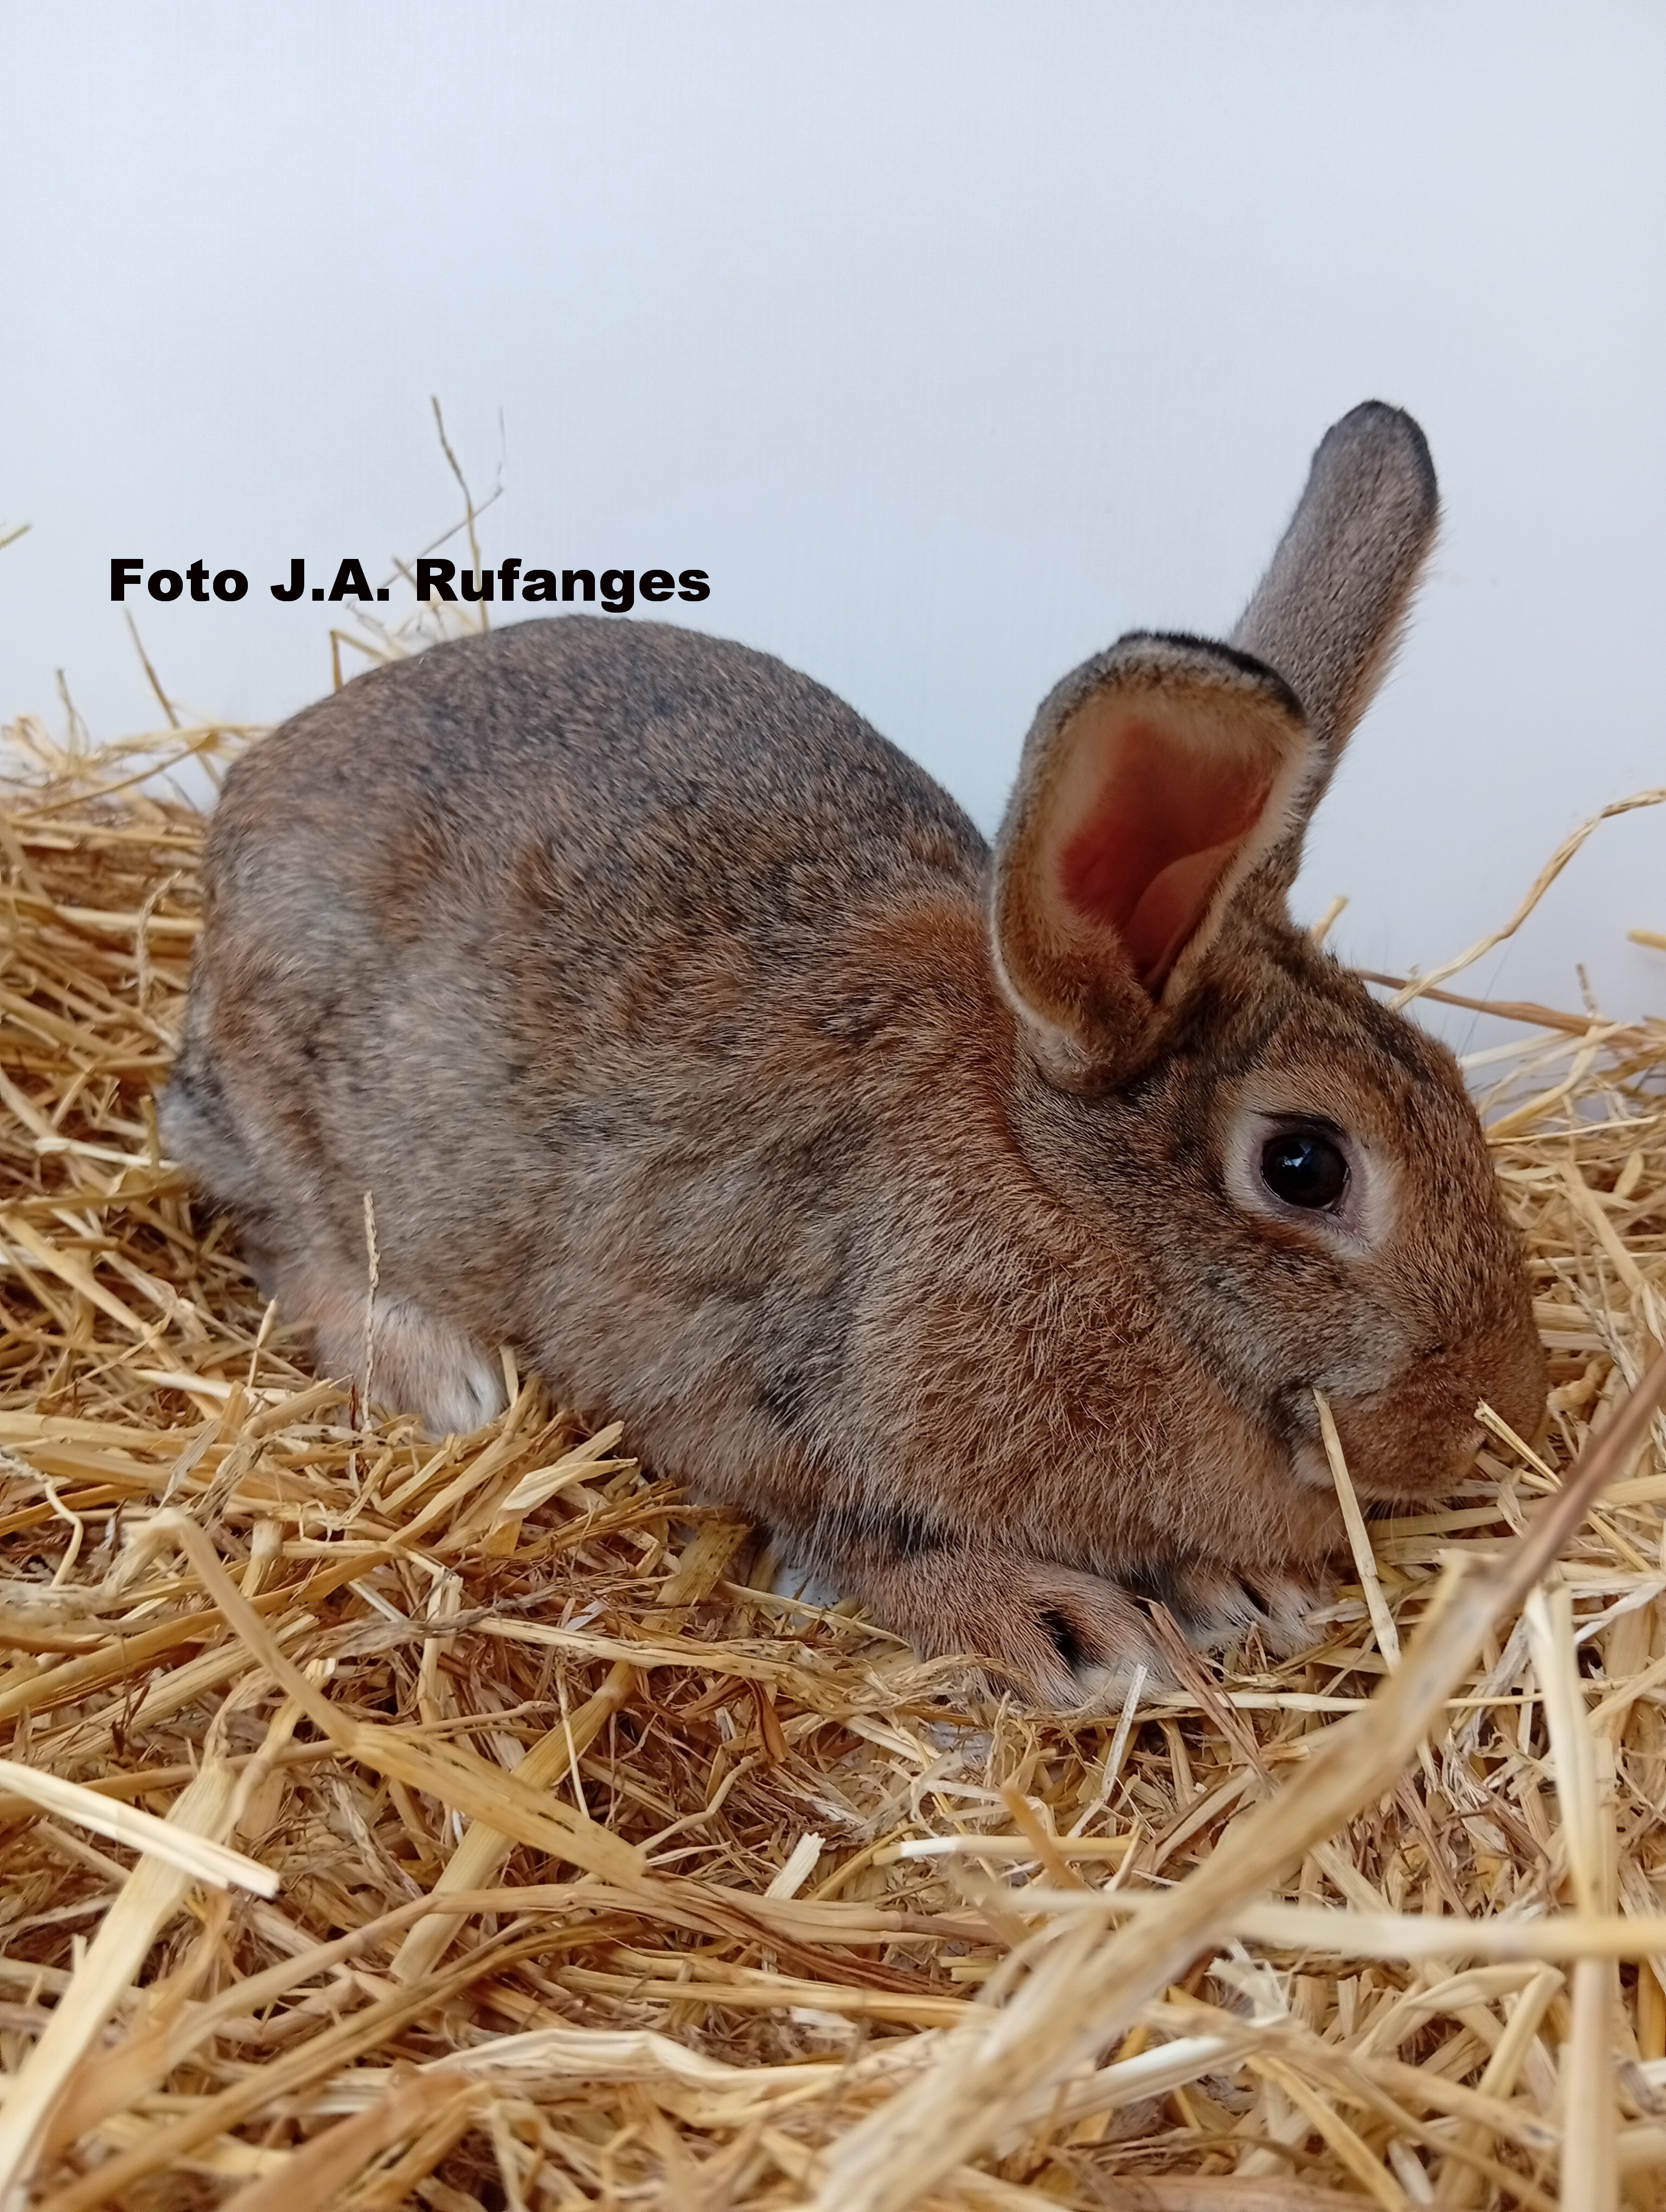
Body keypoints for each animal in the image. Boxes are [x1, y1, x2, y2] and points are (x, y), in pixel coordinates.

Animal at [161, 401, 1546, 1704]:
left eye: (1448, 1077)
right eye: (1305, 1165)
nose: (1489, 1423)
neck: (1063, 1200)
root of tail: (253, 787)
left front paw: (1241, 1587)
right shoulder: (763, 1407)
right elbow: (865, 1544)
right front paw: (1077, 1633)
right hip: (304, 1111)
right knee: (288, 1238)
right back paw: (440, 1375)